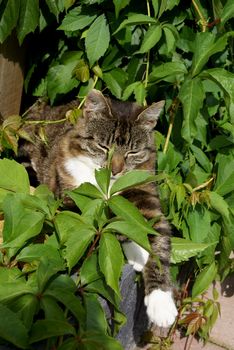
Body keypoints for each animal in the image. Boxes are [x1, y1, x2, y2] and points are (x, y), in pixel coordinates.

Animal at [21, 88, 177, 328]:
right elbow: (108, 222)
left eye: (133, 152)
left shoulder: (147, 195)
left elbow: (158, 241)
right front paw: (138, 251)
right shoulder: (71, 201)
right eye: (104, 147)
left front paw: (161, 304)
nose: (115, 170)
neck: (109, 187)